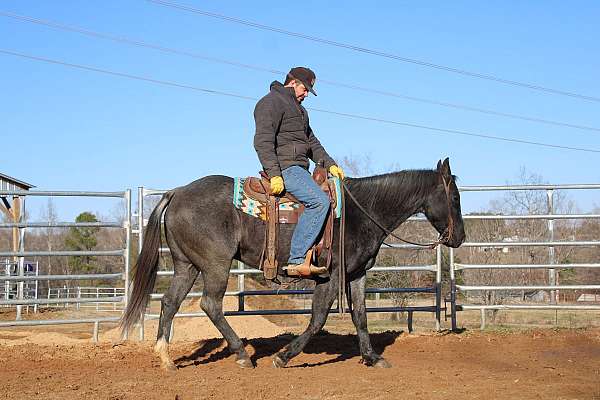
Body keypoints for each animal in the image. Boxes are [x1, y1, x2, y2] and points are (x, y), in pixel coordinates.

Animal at [118, 158, 464, 370]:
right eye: (456, 198)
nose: (459, 237)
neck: (361, 211)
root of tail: (176, 193)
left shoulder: (357, 274)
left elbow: (361, 316)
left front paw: (372, 357)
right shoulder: (330, 275)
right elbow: (318, 319)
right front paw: (284, 356)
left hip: (186, 265)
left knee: (169, 302)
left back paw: (166, 358)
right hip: (216, 264)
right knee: (210, 304)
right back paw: (242, 354)